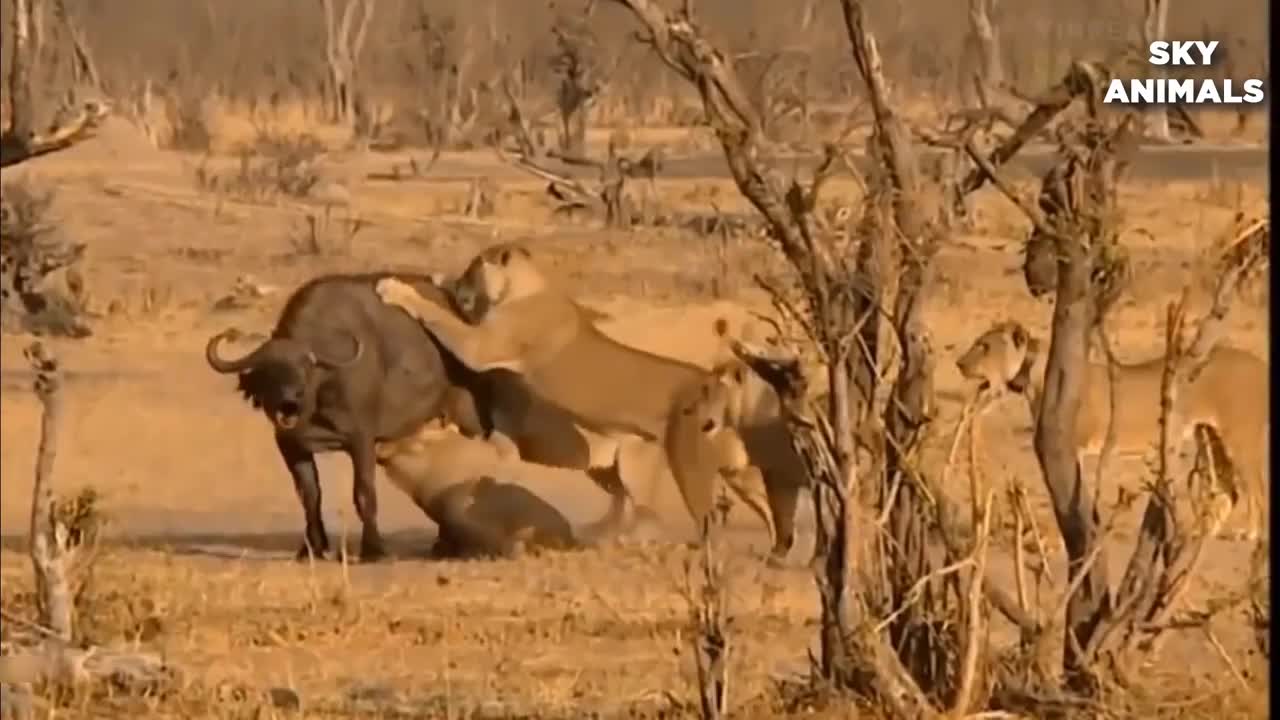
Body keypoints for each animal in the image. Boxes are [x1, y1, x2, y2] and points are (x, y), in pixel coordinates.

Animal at [204, 271, 488, 558]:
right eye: (269, 370)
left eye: (305, 368)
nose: (291, 397)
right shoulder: (291, 446)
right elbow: (309, 496)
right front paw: (312, 547)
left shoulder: (361, 440)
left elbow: (364, 492)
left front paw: (374, 549)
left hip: (469, 418)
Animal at [957, 319, 1264, 538]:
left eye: (984, 346)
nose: (959, 363)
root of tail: (1258, 362)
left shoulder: (1076, 446)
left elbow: (1076, 495)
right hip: (1208, 436)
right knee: (1230, 488)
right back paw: (1206, 531)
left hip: (1239, 437)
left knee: (1256, 487)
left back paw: (1249, 533)